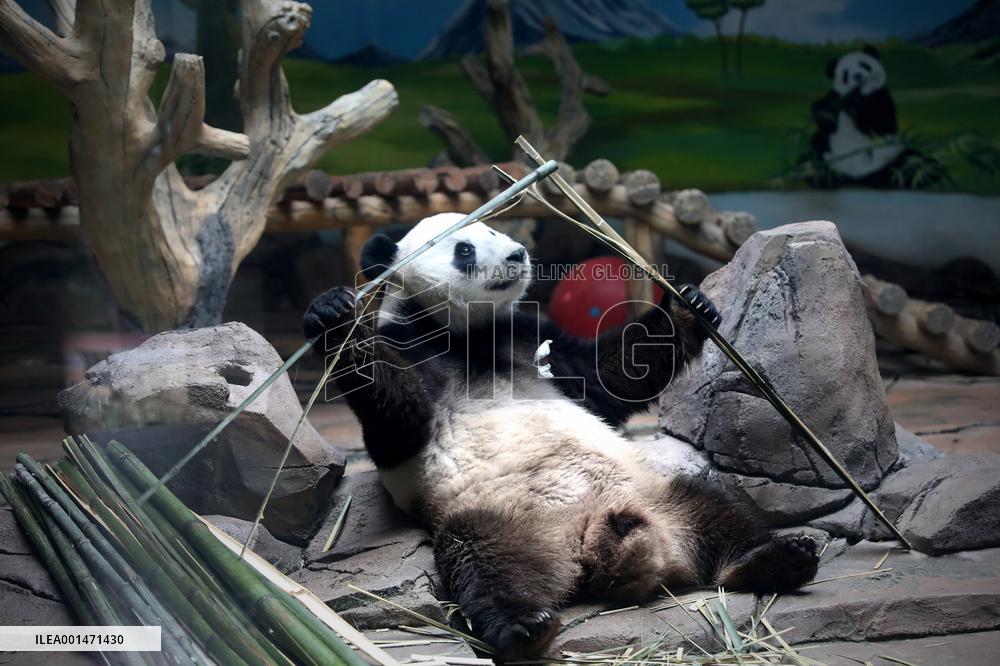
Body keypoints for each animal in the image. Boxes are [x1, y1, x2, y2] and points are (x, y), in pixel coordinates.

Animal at [304, 214, 819, 659]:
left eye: (494, 229)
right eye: (464, 249)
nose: (516, 254)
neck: (465, 333)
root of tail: (588, 540)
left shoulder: (529, 340)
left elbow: (609, 376)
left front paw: (688, 306)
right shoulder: (414, 346)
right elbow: (398, 419)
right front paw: (334, 316)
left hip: (656, 491)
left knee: (718, 512)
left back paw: (776, 557)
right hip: (494, 519)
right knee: (486, 568)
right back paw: (524, 628)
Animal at [809, 46, 909, 186]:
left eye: (864, 65)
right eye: (846, 74)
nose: (857, 76)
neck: (860, 94)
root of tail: (856, 177)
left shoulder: (881, 97)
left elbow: (880, 126)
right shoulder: (837, 98)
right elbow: (827, 121)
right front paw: (821, 109)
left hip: (893, 157)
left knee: (910, 163)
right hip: (827, 153)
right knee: (814, 152)